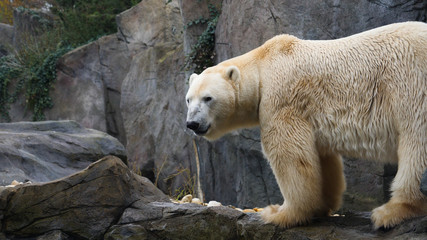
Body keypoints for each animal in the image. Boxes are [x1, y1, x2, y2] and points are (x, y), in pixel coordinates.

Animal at [185, 22, 427, 229]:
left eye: (208, 98)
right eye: (189, 99)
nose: (192, 123)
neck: (263, 65)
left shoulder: (282, 98)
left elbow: (289, 154)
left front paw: (280, 213)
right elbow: (322, 159)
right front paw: (321, 205)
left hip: (410, 82)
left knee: (415, 141)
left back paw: (391, 211)